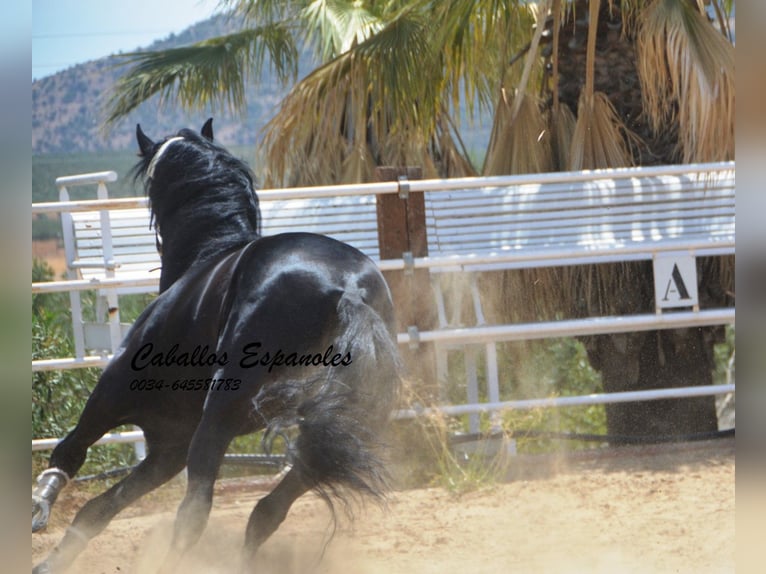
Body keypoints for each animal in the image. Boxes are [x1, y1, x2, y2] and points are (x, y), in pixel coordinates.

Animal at [31, 119, 402, 572]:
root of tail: (347, 288)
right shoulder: (166, 447)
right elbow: (99, 508)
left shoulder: (114, 398)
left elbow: (70, 452)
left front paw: (38, 511)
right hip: (334, 430)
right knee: (268, 509)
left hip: (218, 416)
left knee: (196, 510)